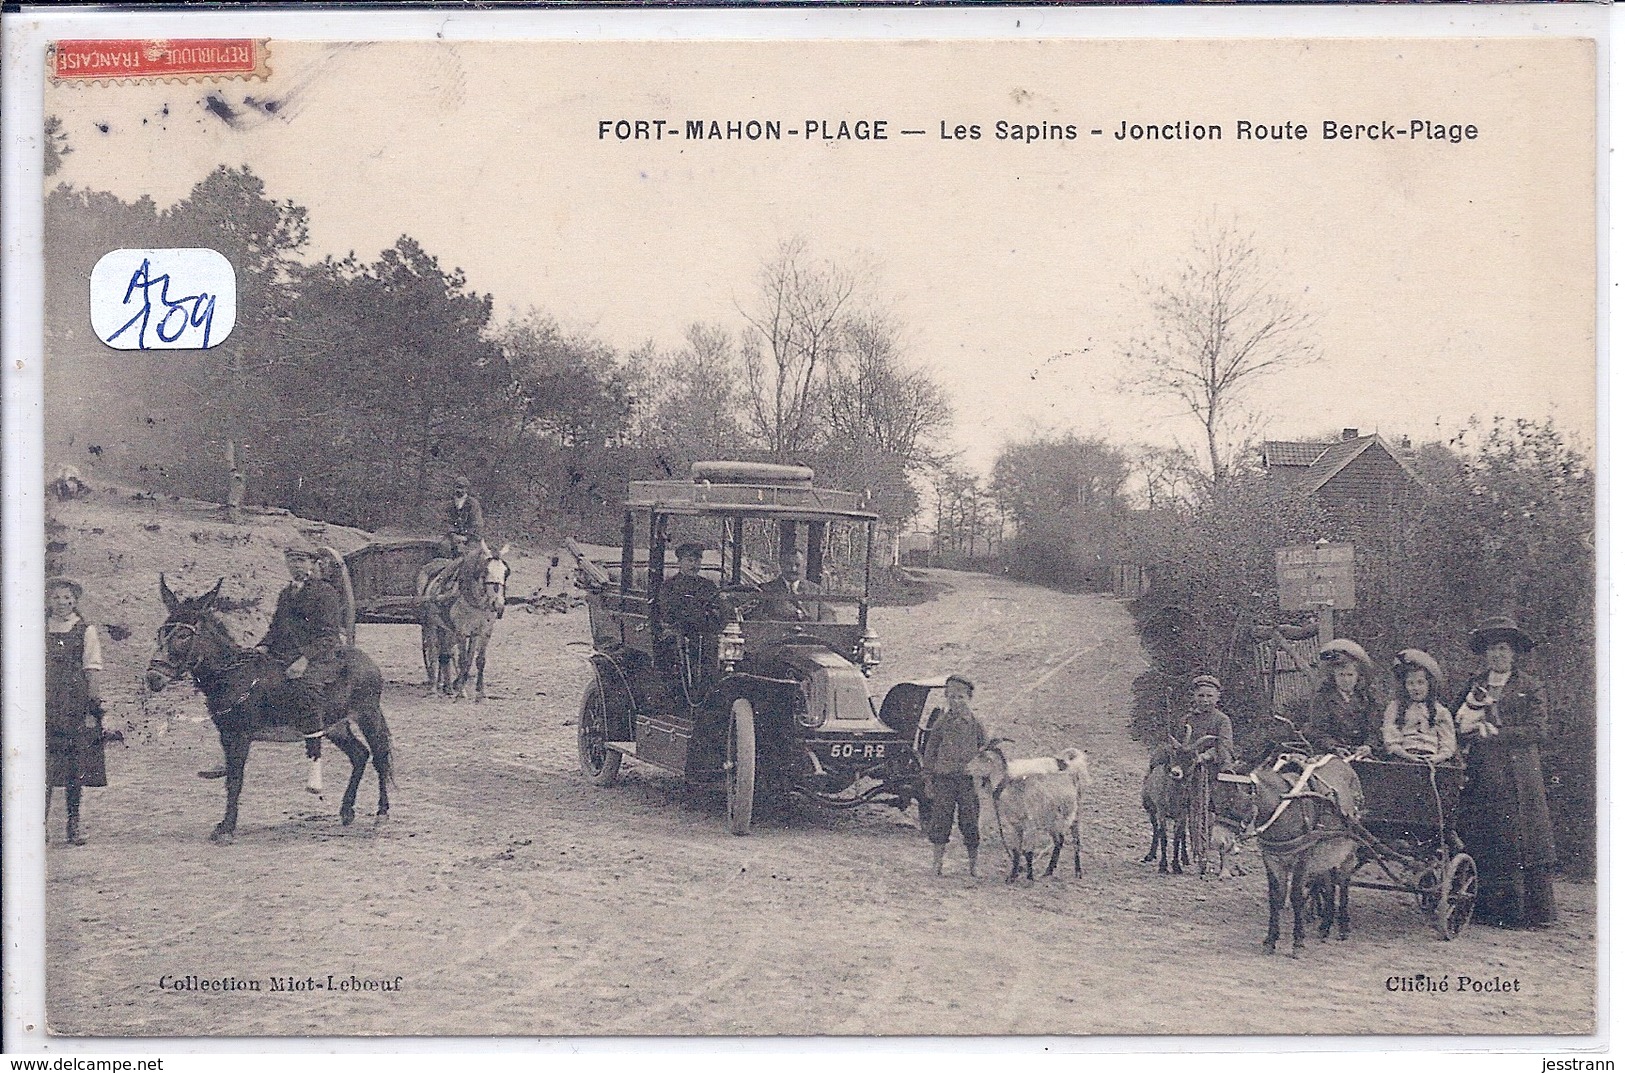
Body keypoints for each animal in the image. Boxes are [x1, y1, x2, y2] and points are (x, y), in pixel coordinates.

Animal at [148, 575, 396, 845]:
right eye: (161, 632)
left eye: (184, 635)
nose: (153, 678)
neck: (234, 675)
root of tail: (365, 659)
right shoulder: (226, 735)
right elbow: (230, 778)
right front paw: (224, 824)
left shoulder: (240, 737)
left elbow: (235, 781)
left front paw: (226, 829)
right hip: (335, 725)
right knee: (359, 755)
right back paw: (347, 810)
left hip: (367, 714)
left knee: (380, 757)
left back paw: (381, 814)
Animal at [419, 539, 507, 699]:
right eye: (486, 570)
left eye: (505, 572)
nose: (498, 604)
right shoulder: (461, 630)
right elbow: (463, 660)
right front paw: (461, 691)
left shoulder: (483, 631)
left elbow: (477, 660)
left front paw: (480, 692)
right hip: (430, 625)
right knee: (433, 653)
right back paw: (434, 686)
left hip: (445, 629)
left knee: (445, 654)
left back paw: (446, 686)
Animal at [962, 741, 1092, 884]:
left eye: (984, 757)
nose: (966, 768)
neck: (1013, 789)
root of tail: (1071, 771)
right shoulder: (1014, 825)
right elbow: (1016, 850)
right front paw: (1012, 877)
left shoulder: (1031, 824)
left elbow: (1028, 851)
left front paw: (1029, 878)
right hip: (1052, 821)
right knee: (1059, 840)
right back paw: (1048, 871)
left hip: (1074, 815)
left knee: (1075, 841)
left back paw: (1078, 872)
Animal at [1215, 754, 1365, 955]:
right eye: (1214, 797)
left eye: (1233, 799)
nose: (1217, 841)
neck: (1283, 812)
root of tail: (1342, 761)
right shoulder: (1270, 859)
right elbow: (1275, 898)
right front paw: (1270, 940)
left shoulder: (1302, 858)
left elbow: (1296, 897)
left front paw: (1298, 942)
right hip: (1324, 855)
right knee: (1328, 884)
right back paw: (1325, 926)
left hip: (1347, 850)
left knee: (1343, 883)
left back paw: (1343, 927)